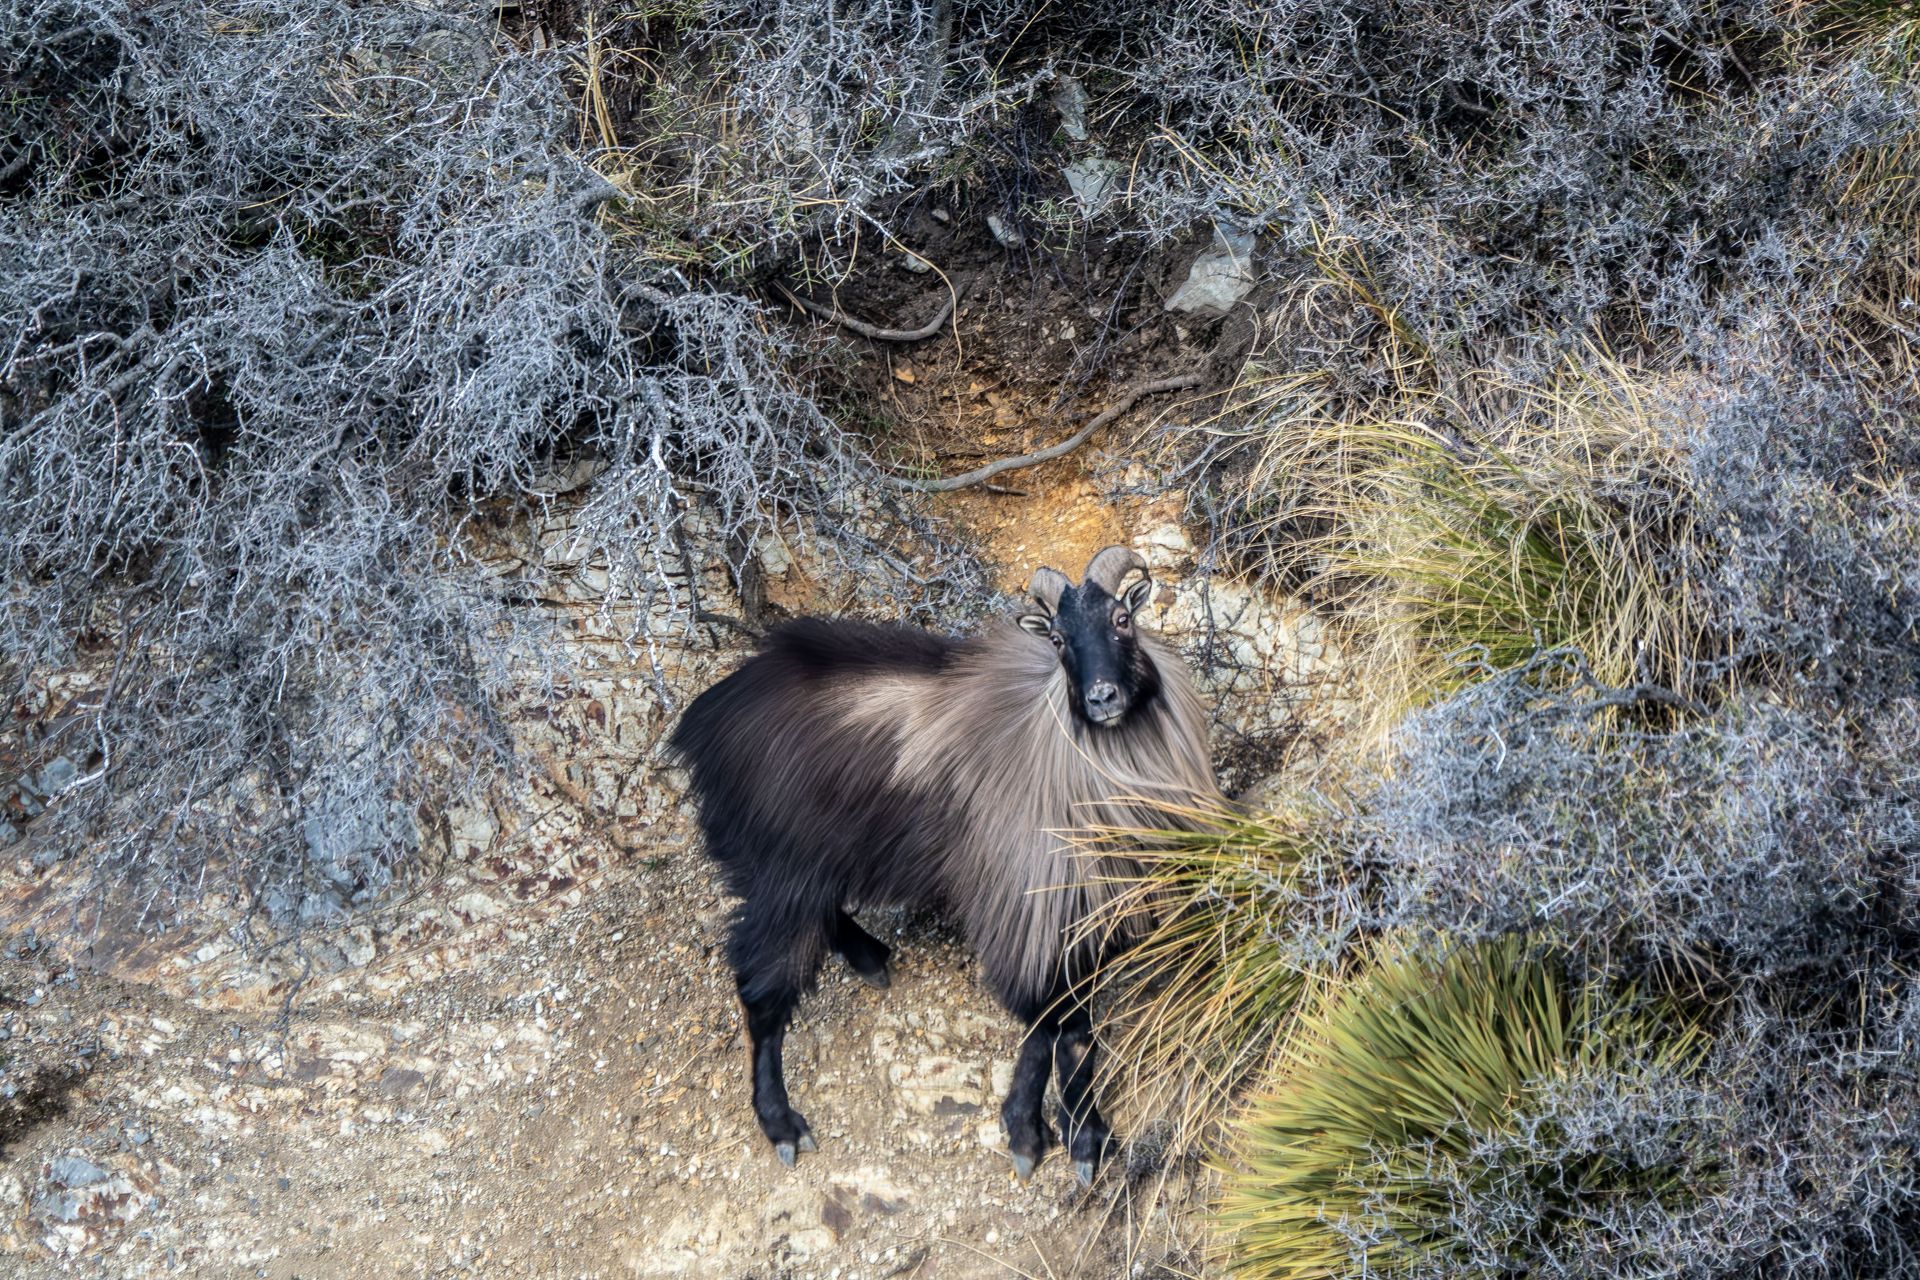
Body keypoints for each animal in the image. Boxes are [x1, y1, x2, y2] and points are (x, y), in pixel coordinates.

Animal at [669, 545, 1217, 1184]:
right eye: (1058, 639)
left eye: (1123, 619)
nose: (1101, 698)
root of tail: (702, 720)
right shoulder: (1034, 907)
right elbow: (1061, 1025)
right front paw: (1065, 1138)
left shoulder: (1070, 915)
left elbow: (1058, 1026)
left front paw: (1044, 1131)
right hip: (779, 873)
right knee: (760, 997)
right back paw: (782, 1124)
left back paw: (870, 956)